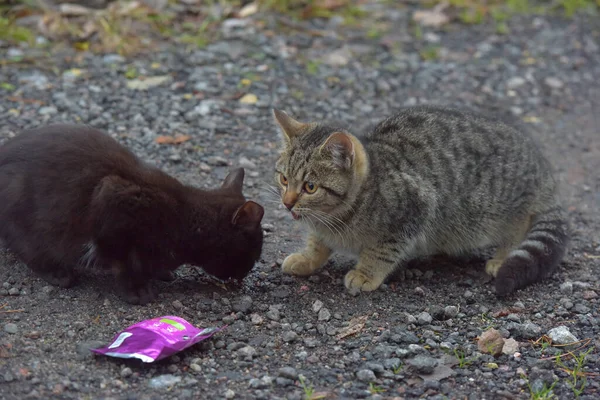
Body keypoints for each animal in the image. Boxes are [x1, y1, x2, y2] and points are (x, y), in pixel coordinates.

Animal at [274, 104, 568, 296]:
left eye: (310, 187)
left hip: (500, 209)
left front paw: (366, 273)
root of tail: (542, 169)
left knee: (520, 224)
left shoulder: (415, 208)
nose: (287, 203)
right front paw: (307, 258)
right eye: (284, 179)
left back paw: (504, 255)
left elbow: (381, 250)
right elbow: (317, 243)